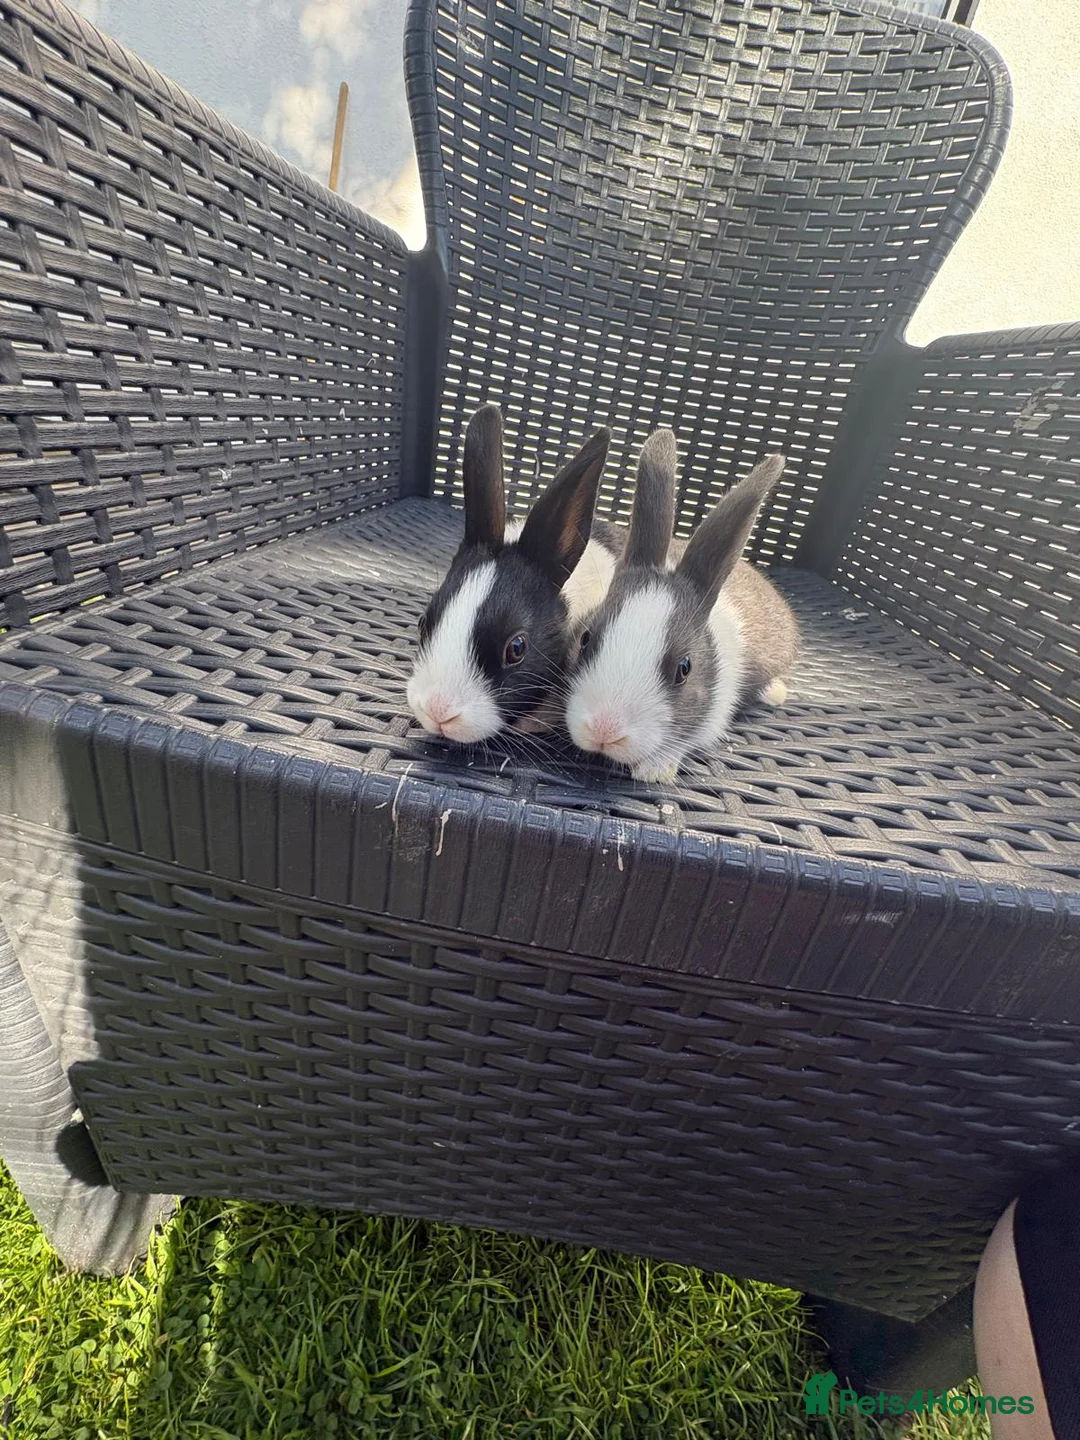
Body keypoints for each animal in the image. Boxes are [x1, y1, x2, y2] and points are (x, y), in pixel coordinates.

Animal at [564, 428, 799, 782]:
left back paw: (776, 693)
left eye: (684, 669)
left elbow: (686, 739)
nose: (604, 731)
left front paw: (655, 771)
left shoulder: (714, 713)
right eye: (585, 639)